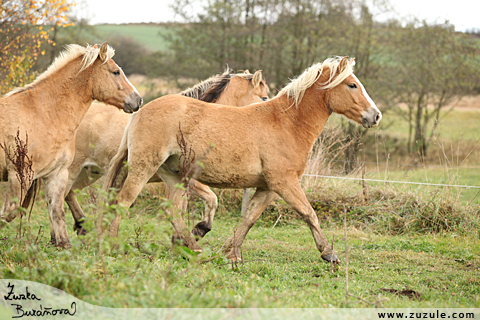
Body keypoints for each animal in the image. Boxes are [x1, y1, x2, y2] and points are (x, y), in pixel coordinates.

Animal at [0, 42, 142, 248]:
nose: (138, 100)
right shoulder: (20, 175)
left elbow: (57, 211)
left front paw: (63, 243)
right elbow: (9, 212)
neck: (43, 113)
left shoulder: (56, 174)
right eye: (115, 72)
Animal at [66, 69, 270, 235]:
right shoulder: (191, 179)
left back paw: (82, 227)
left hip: (89, 173)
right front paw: (199, 229)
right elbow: (211, 199)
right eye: (265, 98)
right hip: (75, 169)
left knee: (69, 195)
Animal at [105, 57, 382, 262]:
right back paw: (114, 245)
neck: (287, 123)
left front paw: (231, 254)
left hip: (174, 176)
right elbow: (309, 213)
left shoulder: (267, 187)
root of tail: (140, 111)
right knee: (123, 201)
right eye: (352, 85)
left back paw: (194, 247)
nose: (375, 115)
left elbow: (248, 219)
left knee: (172, 210)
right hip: (143, 168)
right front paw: (329, 254)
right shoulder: (284, 183)